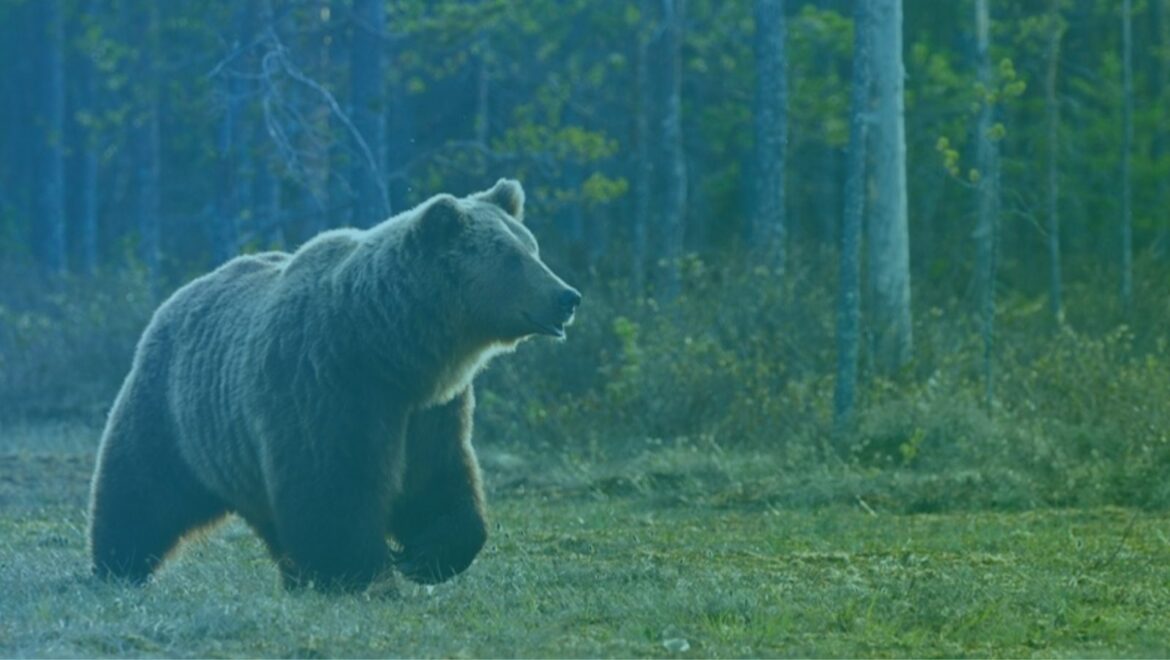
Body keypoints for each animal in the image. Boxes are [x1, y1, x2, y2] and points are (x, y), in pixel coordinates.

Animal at [87, 179, 580, 591]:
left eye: (533, 248)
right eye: (512, 258)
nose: (567, 296)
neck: (393, 348)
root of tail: (180, 293)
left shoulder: (431, 409)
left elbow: (439, 478)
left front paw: (425, 556)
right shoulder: (329, 383)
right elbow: (334, 484)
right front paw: (360, 573)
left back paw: (293, 575)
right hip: (174, 412)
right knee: (141, 487)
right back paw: (118, 565)